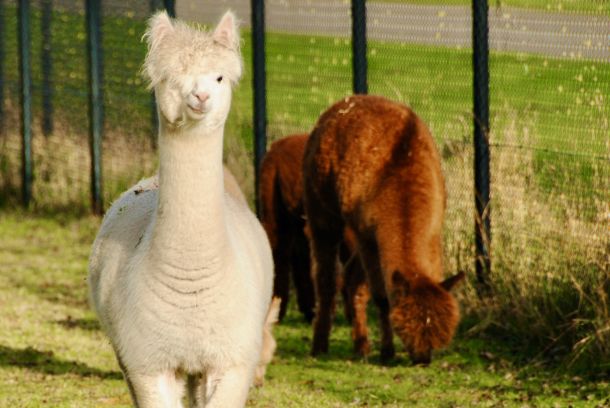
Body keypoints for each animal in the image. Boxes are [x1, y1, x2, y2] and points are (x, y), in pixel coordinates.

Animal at [88, 11, 274, 407]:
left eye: (219, 77)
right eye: (170, 77)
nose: (200, 96)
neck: (191, 291)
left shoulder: (233, 360)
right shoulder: (147, 362)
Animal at [303, 95, 464, 365]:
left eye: (439, 334)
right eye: (406, 328)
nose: (423, 358)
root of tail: (341, 105)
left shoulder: (432, 233)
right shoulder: (366, 233)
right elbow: (381, 296)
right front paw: (387, 351)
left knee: (350, 278)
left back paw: (361, 346)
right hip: (321, 209)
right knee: (326, 278)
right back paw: (319, 346)